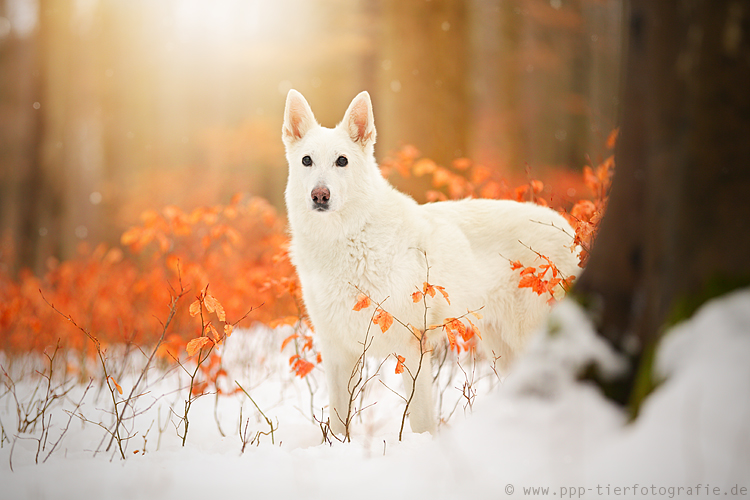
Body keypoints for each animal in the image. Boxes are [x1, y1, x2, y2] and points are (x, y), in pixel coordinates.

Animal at [282, 90, 580, 434]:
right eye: (307, 161)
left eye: (341, 161)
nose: (320, 195)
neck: (347, 239)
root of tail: (567, 228)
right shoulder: (337, 353)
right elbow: (337, 423)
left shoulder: (413, 349)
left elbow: (421, 422)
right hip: (503, 347)